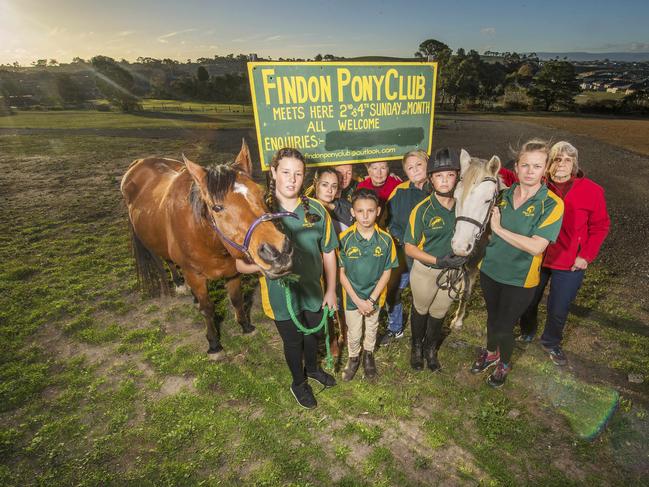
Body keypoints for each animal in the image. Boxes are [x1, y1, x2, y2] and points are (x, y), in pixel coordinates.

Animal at [120, 139, 292, 352]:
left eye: (263, 194)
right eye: (216, 207)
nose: (278, 251)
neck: (207, 239)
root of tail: (138, 163)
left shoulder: (232, 271)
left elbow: (236, 299)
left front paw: (245, 326)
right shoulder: (194, 275)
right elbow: (208, 308)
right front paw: (214, 343)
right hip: (149, 244)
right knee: (163, 262)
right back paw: (177, 284)